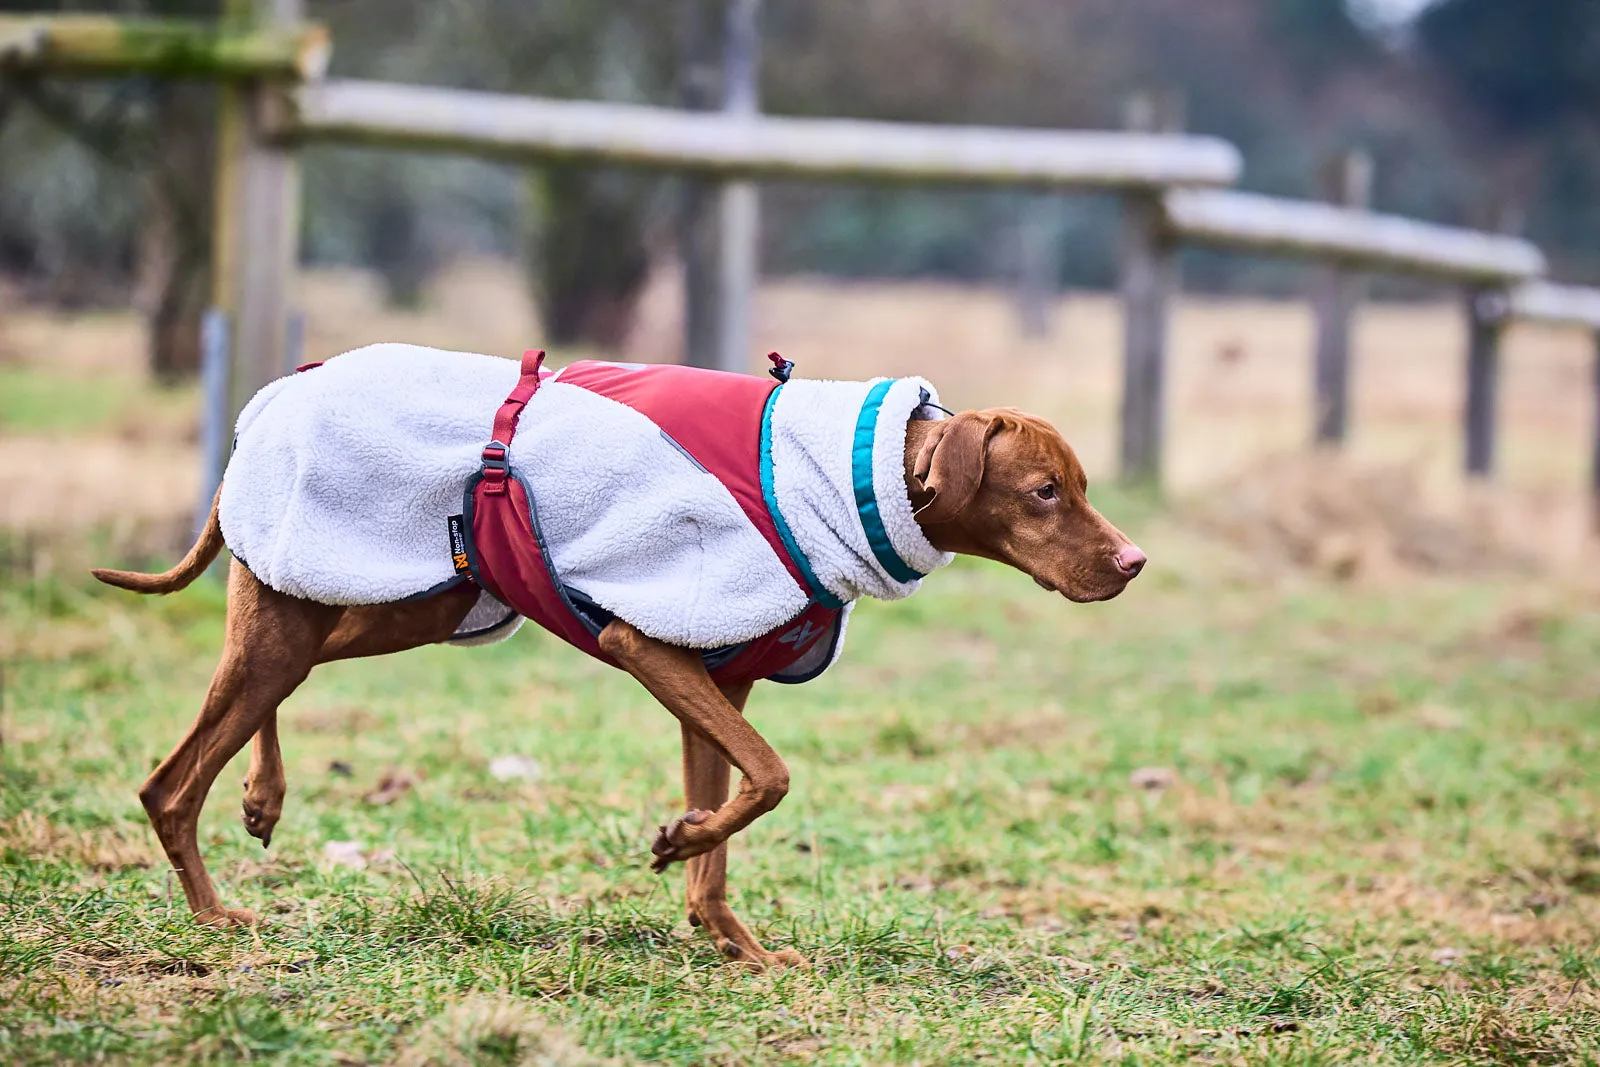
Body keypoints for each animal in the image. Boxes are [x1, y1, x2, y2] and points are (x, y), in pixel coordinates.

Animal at [93, 406, 1145, 966]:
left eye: (1082, 484)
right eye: (1045, 490)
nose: (1135, 563)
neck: (861, 479)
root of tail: (266, 409)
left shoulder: (719, 678)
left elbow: (734, 812)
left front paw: (734, 939)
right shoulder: (650, 642)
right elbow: (773, 779)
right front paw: (681, 842)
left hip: (385, 604)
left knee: (271, 679)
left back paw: (263, 794)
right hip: (315, 609)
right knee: (169, 782)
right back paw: (213, 912)